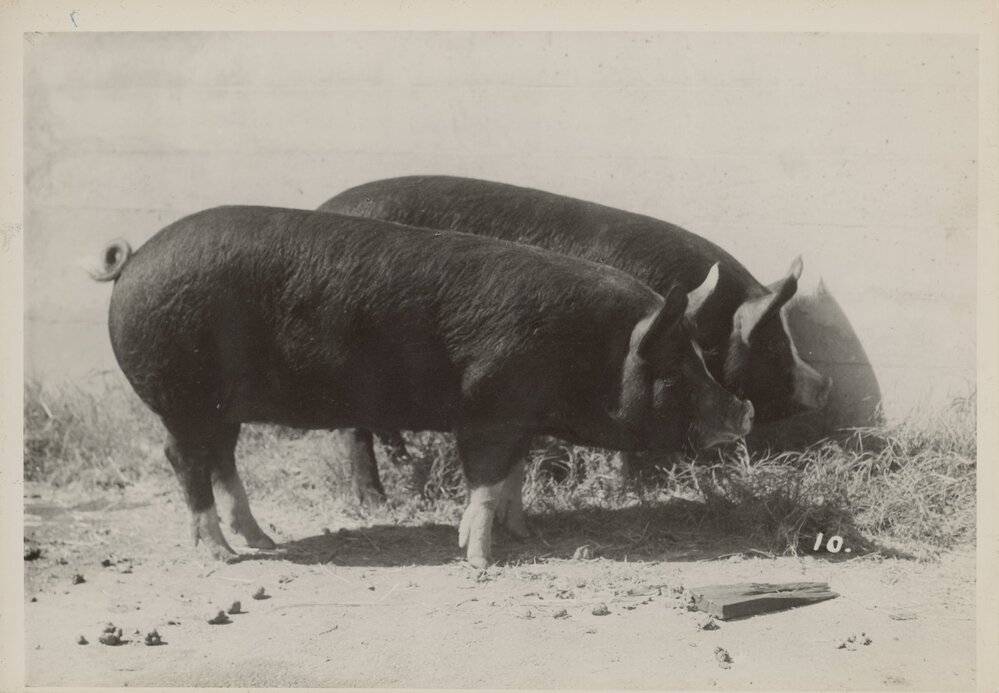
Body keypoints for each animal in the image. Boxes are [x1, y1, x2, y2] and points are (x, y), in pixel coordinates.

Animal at [85, 206, 752, 567]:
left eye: (699, 355)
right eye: (674, 368)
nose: (743, 409)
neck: (590, 350)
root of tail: (133, 258)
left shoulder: (520, 418)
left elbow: (510, 478)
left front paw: (526, 532)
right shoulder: (486, 409)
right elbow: (483, 481)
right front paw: (480, 560)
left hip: (220, 406)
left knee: (221, 458)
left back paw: (264, 541)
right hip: (181, 395)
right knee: (183, 458)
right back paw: (222, 554)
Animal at [318, 175, 832, 493]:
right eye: (772, 343)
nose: (824, 384)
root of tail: (324, 205)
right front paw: (628, 485)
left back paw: (405, 464)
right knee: (354, 428)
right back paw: (377, 500)